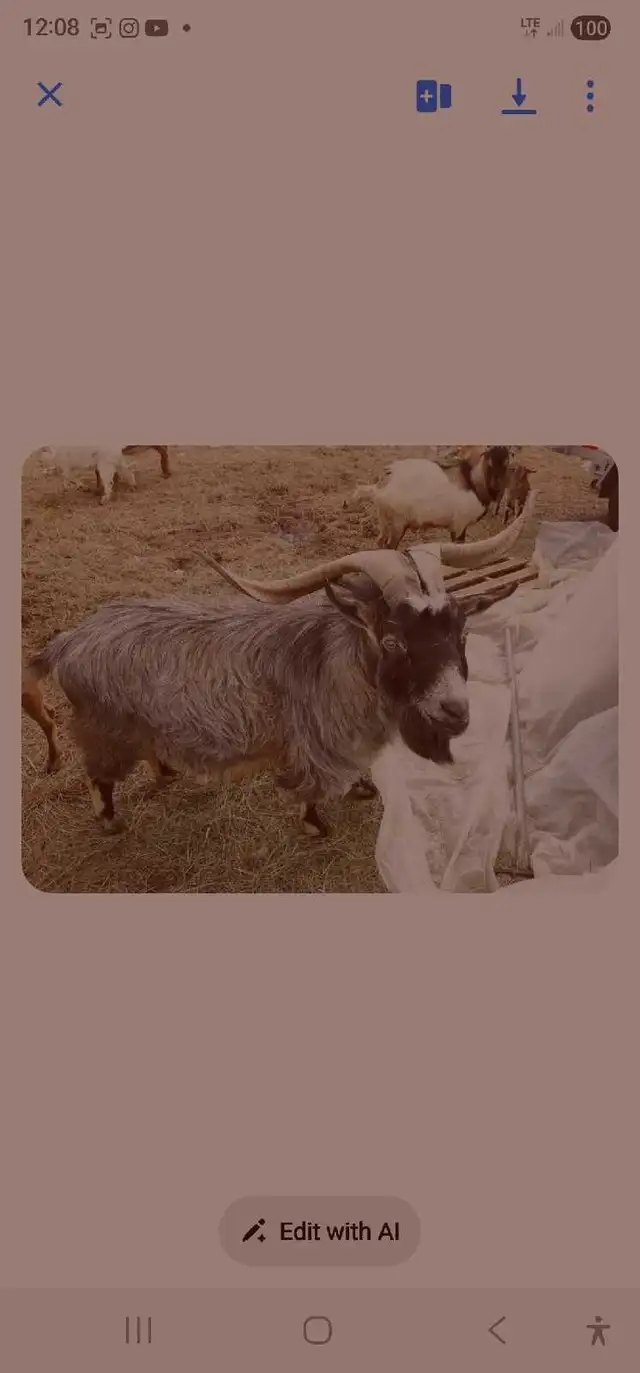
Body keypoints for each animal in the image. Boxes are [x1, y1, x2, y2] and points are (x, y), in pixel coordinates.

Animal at [21, 497, 534, 839]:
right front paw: (315, 827)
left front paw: (363, 789)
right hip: (103, 729)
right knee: (98, 776)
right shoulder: (313, 743)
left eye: (461, 632)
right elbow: (311, 791)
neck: (336, 660)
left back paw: (165, 772)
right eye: (393, 640)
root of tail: (68, 641)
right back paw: (110, 820)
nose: (455, 711)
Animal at [352, 447, 511, 548]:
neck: (472, 483)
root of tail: (381, 488)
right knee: (389, 546)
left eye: (507, 463)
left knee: (380, 543)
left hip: (385, 522)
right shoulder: (459, 524)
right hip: (397, 524)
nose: (497, 485)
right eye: (489, 462)